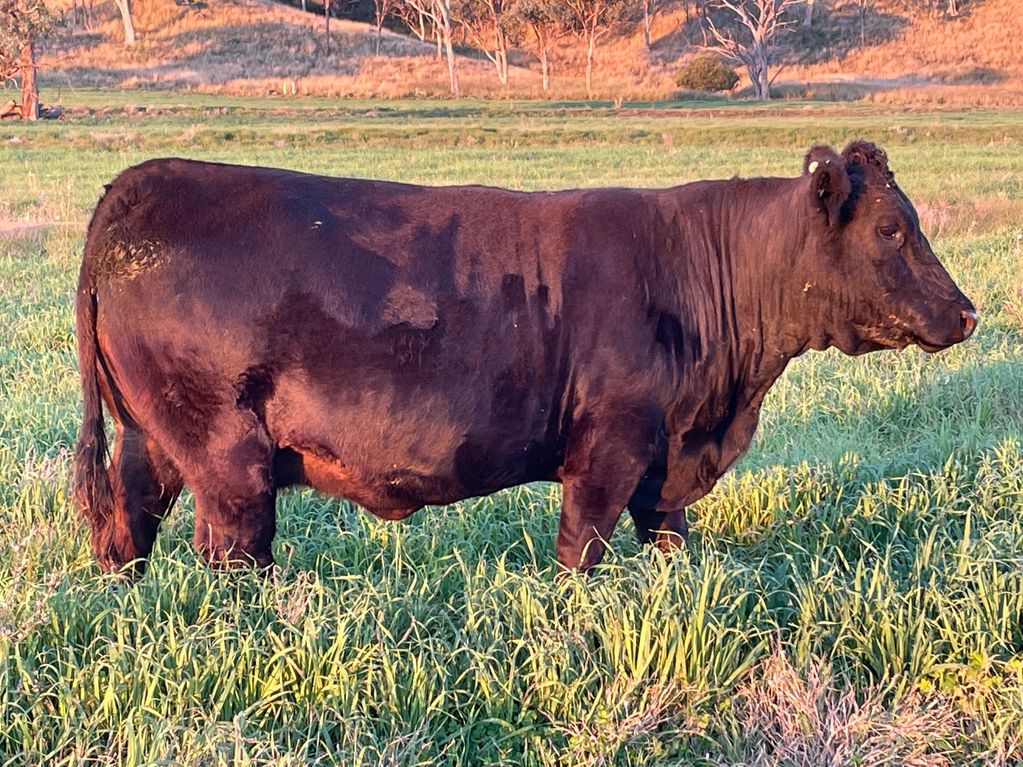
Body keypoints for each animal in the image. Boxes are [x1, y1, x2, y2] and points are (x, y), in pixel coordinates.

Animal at [74, 143, 973, 576]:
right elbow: (582, 549)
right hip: (227, 453)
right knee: (233, 552)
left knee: (128, 528)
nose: (966, 312)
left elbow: (668, 539)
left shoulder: (663, 461)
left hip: (152, 439)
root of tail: (139, 183)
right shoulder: (608, 446)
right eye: (891, 229)